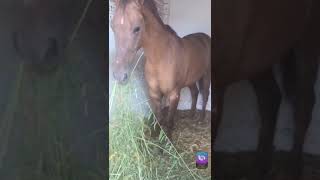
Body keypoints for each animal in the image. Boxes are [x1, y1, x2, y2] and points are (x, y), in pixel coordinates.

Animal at [111, 0, 211, 137]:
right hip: (191, 79)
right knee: (195, 93)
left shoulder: (174, 95)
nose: (119, 76)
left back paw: (201, 119)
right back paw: (191, 115)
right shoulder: (154, 93)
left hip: (206, 75)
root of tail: (205, 37)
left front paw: (168, 140)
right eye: (112, 27)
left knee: (205, 94)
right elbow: (159, 119)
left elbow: (169, 121)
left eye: (137, 28)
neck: (161, 58)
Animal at [212, 0, 320, 179]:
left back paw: (293, 170)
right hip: (260, 55)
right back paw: (259, 168)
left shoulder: (217, 84)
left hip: (307, 38)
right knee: (270, 98)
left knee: (303, 102)